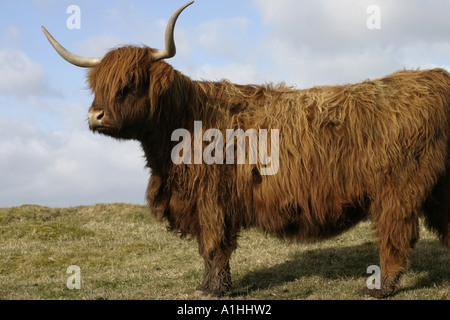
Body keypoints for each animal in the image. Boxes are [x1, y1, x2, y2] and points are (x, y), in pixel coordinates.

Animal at [40, 1, 448, 298]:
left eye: (131, 83)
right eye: (98, 85)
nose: (96, 115)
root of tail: (433, 77)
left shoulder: (211, 199)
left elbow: (213, 245)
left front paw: (211, 289)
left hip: (398, 189)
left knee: (395, 237)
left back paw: (378, 289)